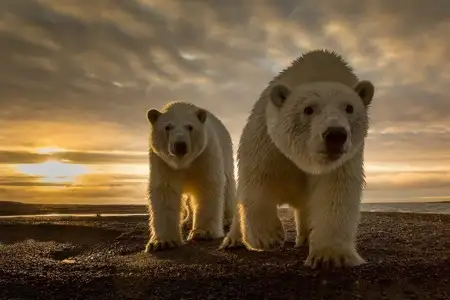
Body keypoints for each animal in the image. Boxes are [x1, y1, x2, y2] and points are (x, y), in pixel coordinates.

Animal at [145, 102, 237, 252]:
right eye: (167, 127)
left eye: (190, 127)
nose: (180, 145)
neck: (183, 162)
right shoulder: (163, 162)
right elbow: (165, 190)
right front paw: (163, 242)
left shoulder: (205, 154)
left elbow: (207, 186)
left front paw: (203, 233)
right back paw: (186, 221)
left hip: (226, 152)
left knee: (228, 186)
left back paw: (227, 219)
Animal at [220, 49, 374, 270]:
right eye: (308, 109)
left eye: (349, 107)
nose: (335, 135)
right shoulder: (267, 140)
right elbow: (258, 178)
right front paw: (268, 237)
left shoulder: (343, 160)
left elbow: (335, 192)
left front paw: (330, 256)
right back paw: (233, 240)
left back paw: (305, 238)